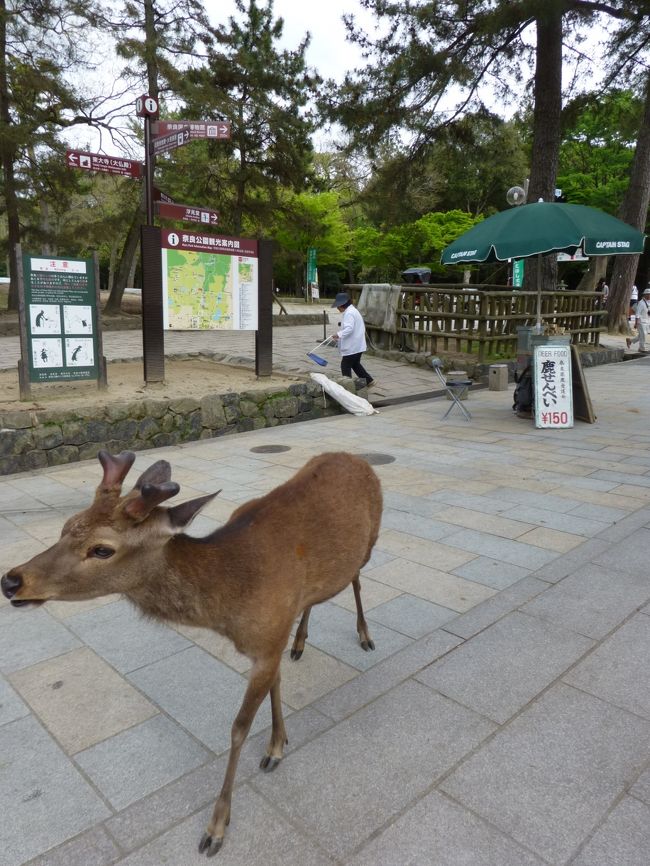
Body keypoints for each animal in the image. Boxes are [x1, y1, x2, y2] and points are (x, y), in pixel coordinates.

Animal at [1, 449, 382, 857]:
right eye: (67, 525)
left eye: (102, 549)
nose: (11, 580)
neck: (230, 603)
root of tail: (355, 458)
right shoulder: (270, 641)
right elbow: (276, 686)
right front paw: (278, 744)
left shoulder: (266, 644)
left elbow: (239, 728)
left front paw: (216, 828)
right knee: (321, 595)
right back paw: (301, 642)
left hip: (370, 542)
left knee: (357, 579)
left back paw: (365, 635)